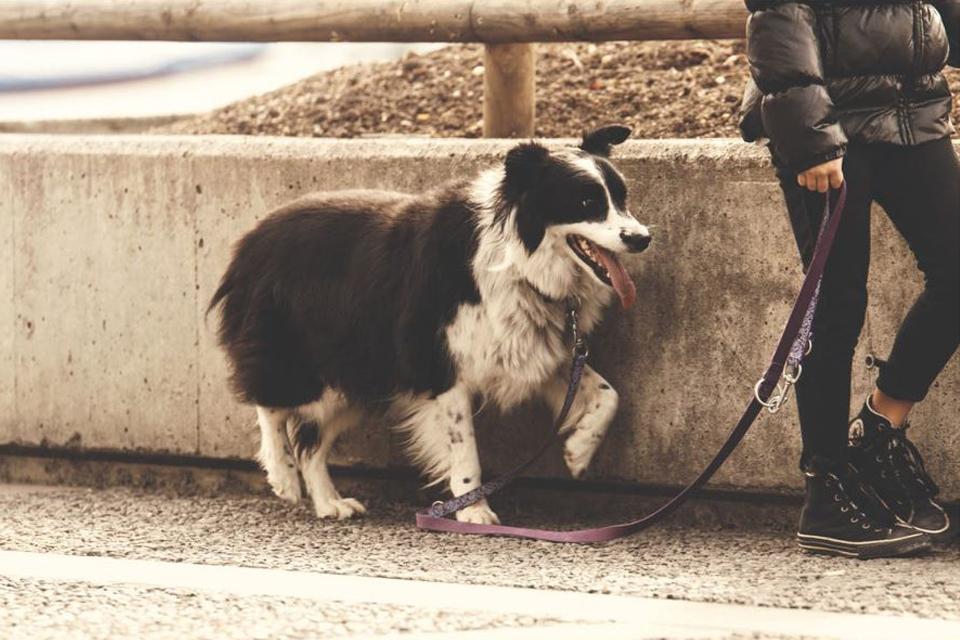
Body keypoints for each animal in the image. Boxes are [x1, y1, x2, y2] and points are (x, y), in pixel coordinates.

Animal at [210, 126, 652, 524]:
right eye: (586, 202)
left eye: (622, 198)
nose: (642, 238)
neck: (518, 259)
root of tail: (249, 242)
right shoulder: (442, 364)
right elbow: (464, 447)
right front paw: (474, 511)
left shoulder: (532, 349)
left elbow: (609, 395)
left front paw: (578, 452)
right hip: (302, 353)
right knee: (270, 403)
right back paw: (283, 476)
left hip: (357, 372)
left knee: (311, 443)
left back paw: (329, 503)